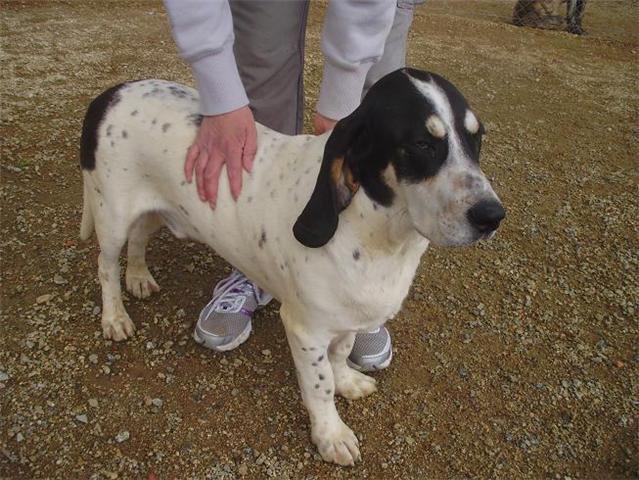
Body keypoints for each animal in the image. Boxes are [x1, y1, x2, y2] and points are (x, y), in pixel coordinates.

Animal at [79, 67, 504, 464]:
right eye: (421, 144)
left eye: (476, 138)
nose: (492, 216)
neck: (373, 231)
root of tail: (111, 93)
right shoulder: (305, 330)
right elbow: (320, 385)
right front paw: (330, 434)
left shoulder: (346, 318)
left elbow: (340, 355)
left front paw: (348, 381)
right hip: (111, 216)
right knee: (105, 265)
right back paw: (114, 317)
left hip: (154, 210)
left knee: (139, 238)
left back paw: (138, 277)